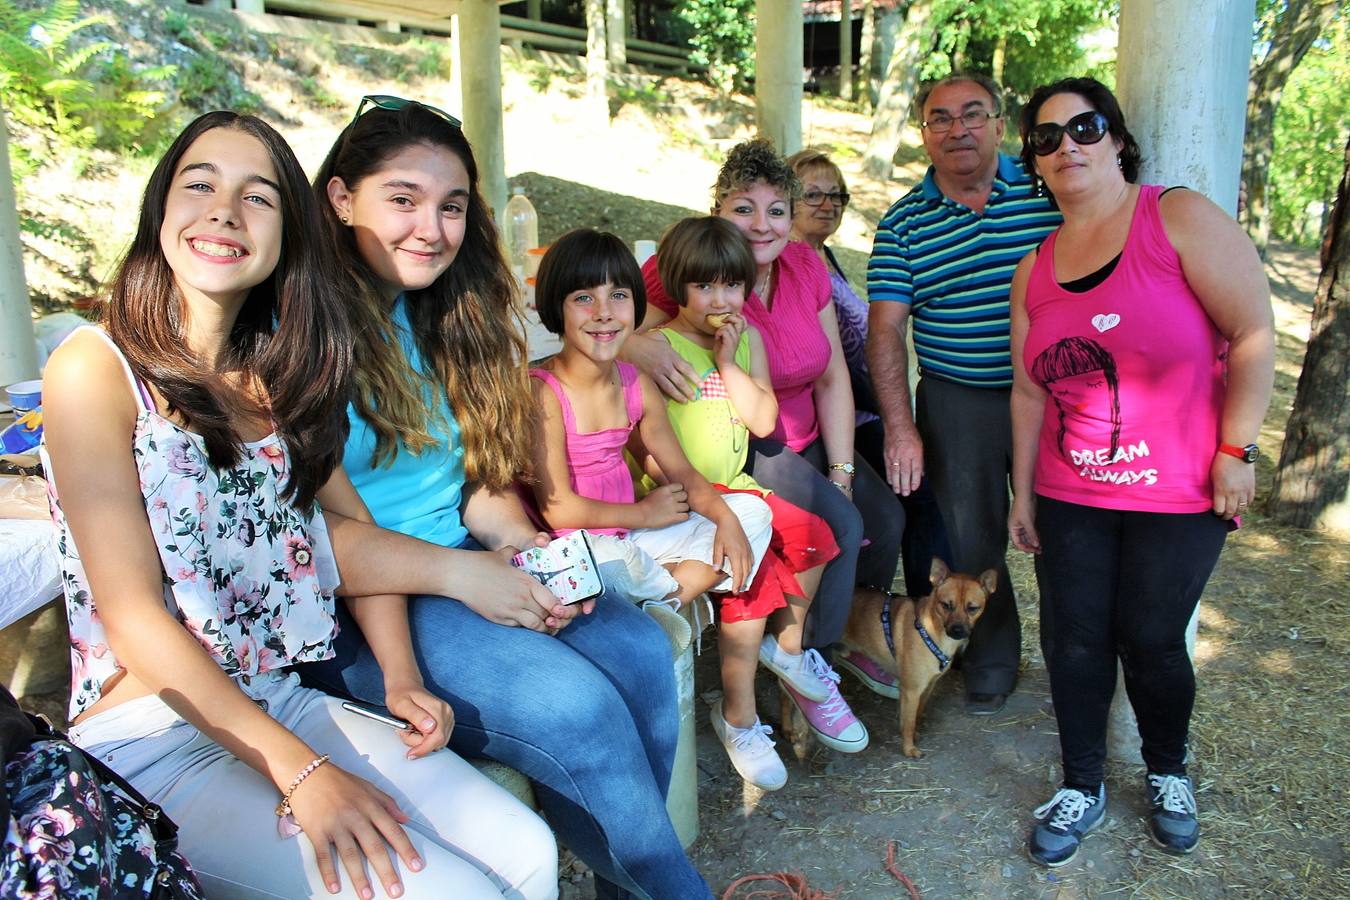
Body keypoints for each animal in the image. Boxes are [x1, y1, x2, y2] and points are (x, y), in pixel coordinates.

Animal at [837, 558, 999, 755]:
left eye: (973, 608)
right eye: (946, 605)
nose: (957, 630)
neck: (932, 631)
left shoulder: (926, 688)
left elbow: (915, 715)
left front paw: (913, 733)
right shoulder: (912, 691)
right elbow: (908, 723)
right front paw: (909, 749)